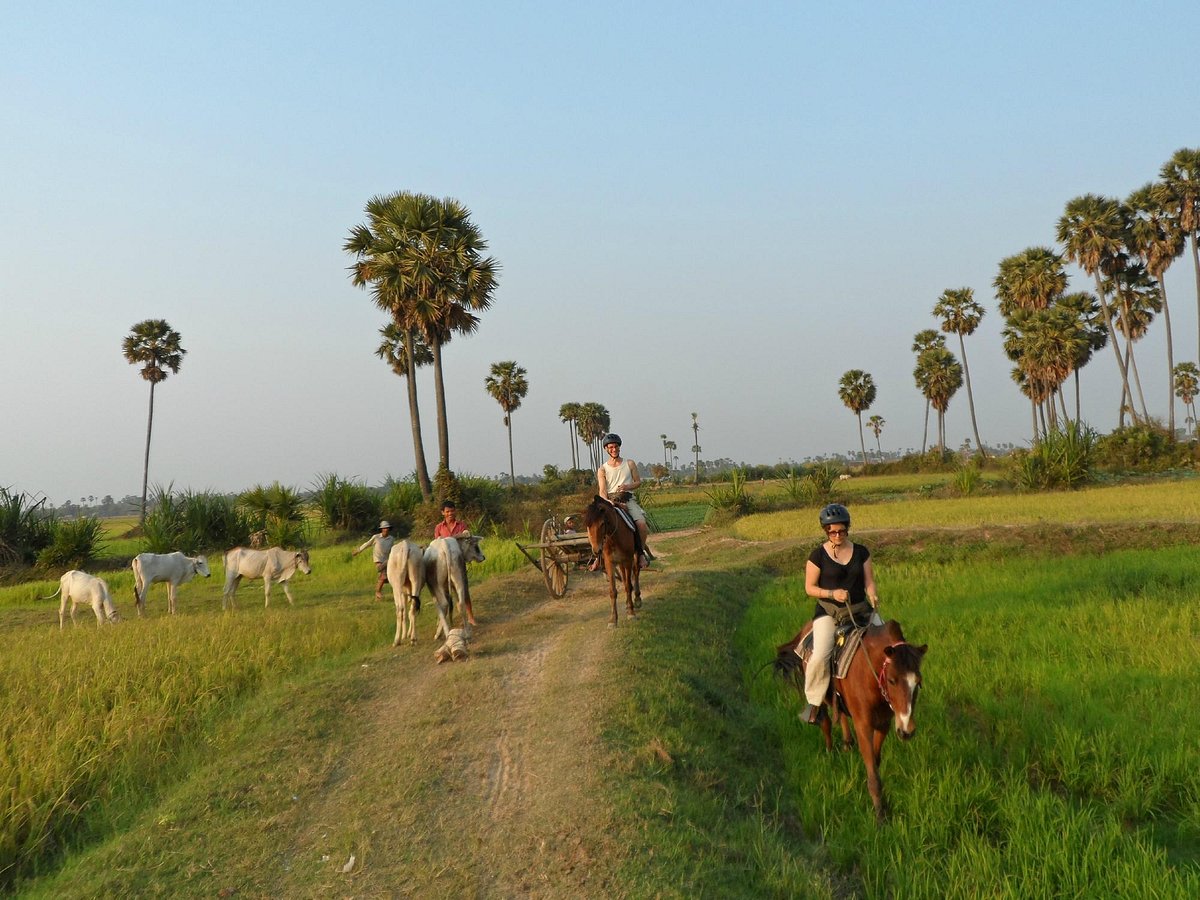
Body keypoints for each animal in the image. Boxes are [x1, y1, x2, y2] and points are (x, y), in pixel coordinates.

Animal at [578, 494, 638, 628]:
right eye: (588, 525)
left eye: (602, 524)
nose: (596, 550)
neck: (614, 538)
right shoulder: (610, 563)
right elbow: (613, 591)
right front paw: (613, 619)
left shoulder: (628, 560)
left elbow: (628, 586)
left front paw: (631, 613)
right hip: (620, 563)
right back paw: (628, 604)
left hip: (634, 557)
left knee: (636, 574)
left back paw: (637, 600)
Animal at [777, 619, 926, 825]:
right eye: (892, 680)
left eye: (918, 682)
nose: (907, 731)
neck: (872, 675)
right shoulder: (863, 725)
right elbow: (873, 770)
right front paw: (880, 815)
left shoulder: (884, 724)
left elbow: (875, 760)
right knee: (825, 721)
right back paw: (830, 751)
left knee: (840, 714)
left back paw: (847, 743)